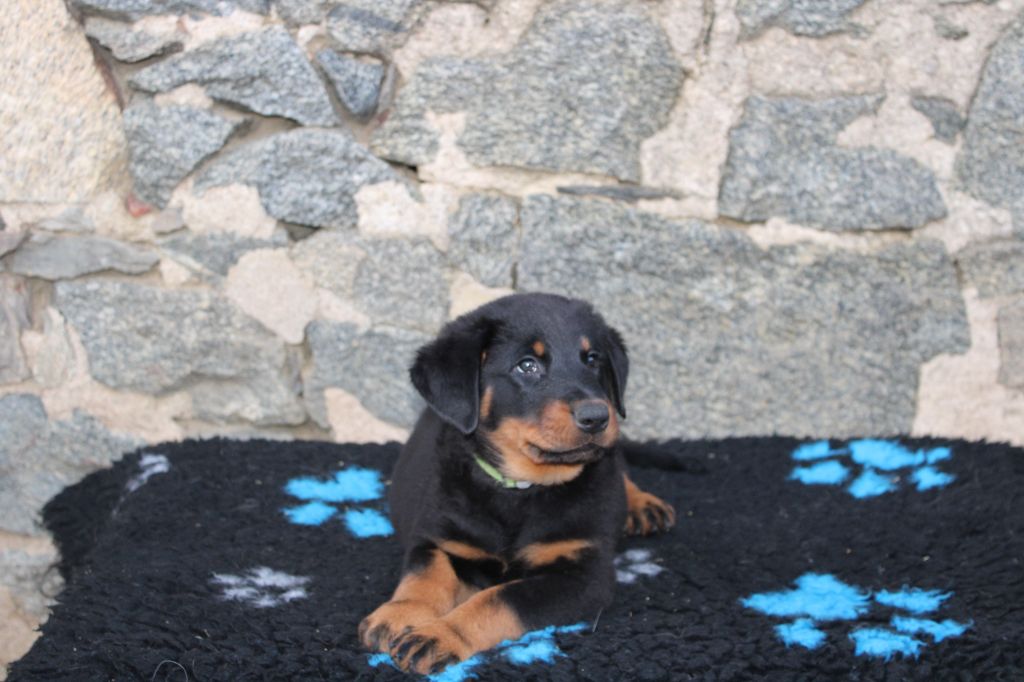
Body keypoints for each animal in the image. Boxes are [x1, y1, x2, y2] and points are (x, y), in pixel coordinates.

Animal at [359, 293, 676, 674]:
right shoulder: (439, 538)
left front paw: (440, 634)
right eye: (527, 366)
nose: (598, 416)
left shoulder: (585, 576)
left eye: (592, 359)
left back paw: (642, 504)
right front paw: (399, 614)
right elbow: (424, 577)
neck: (521, 488)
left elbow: (499, 598)